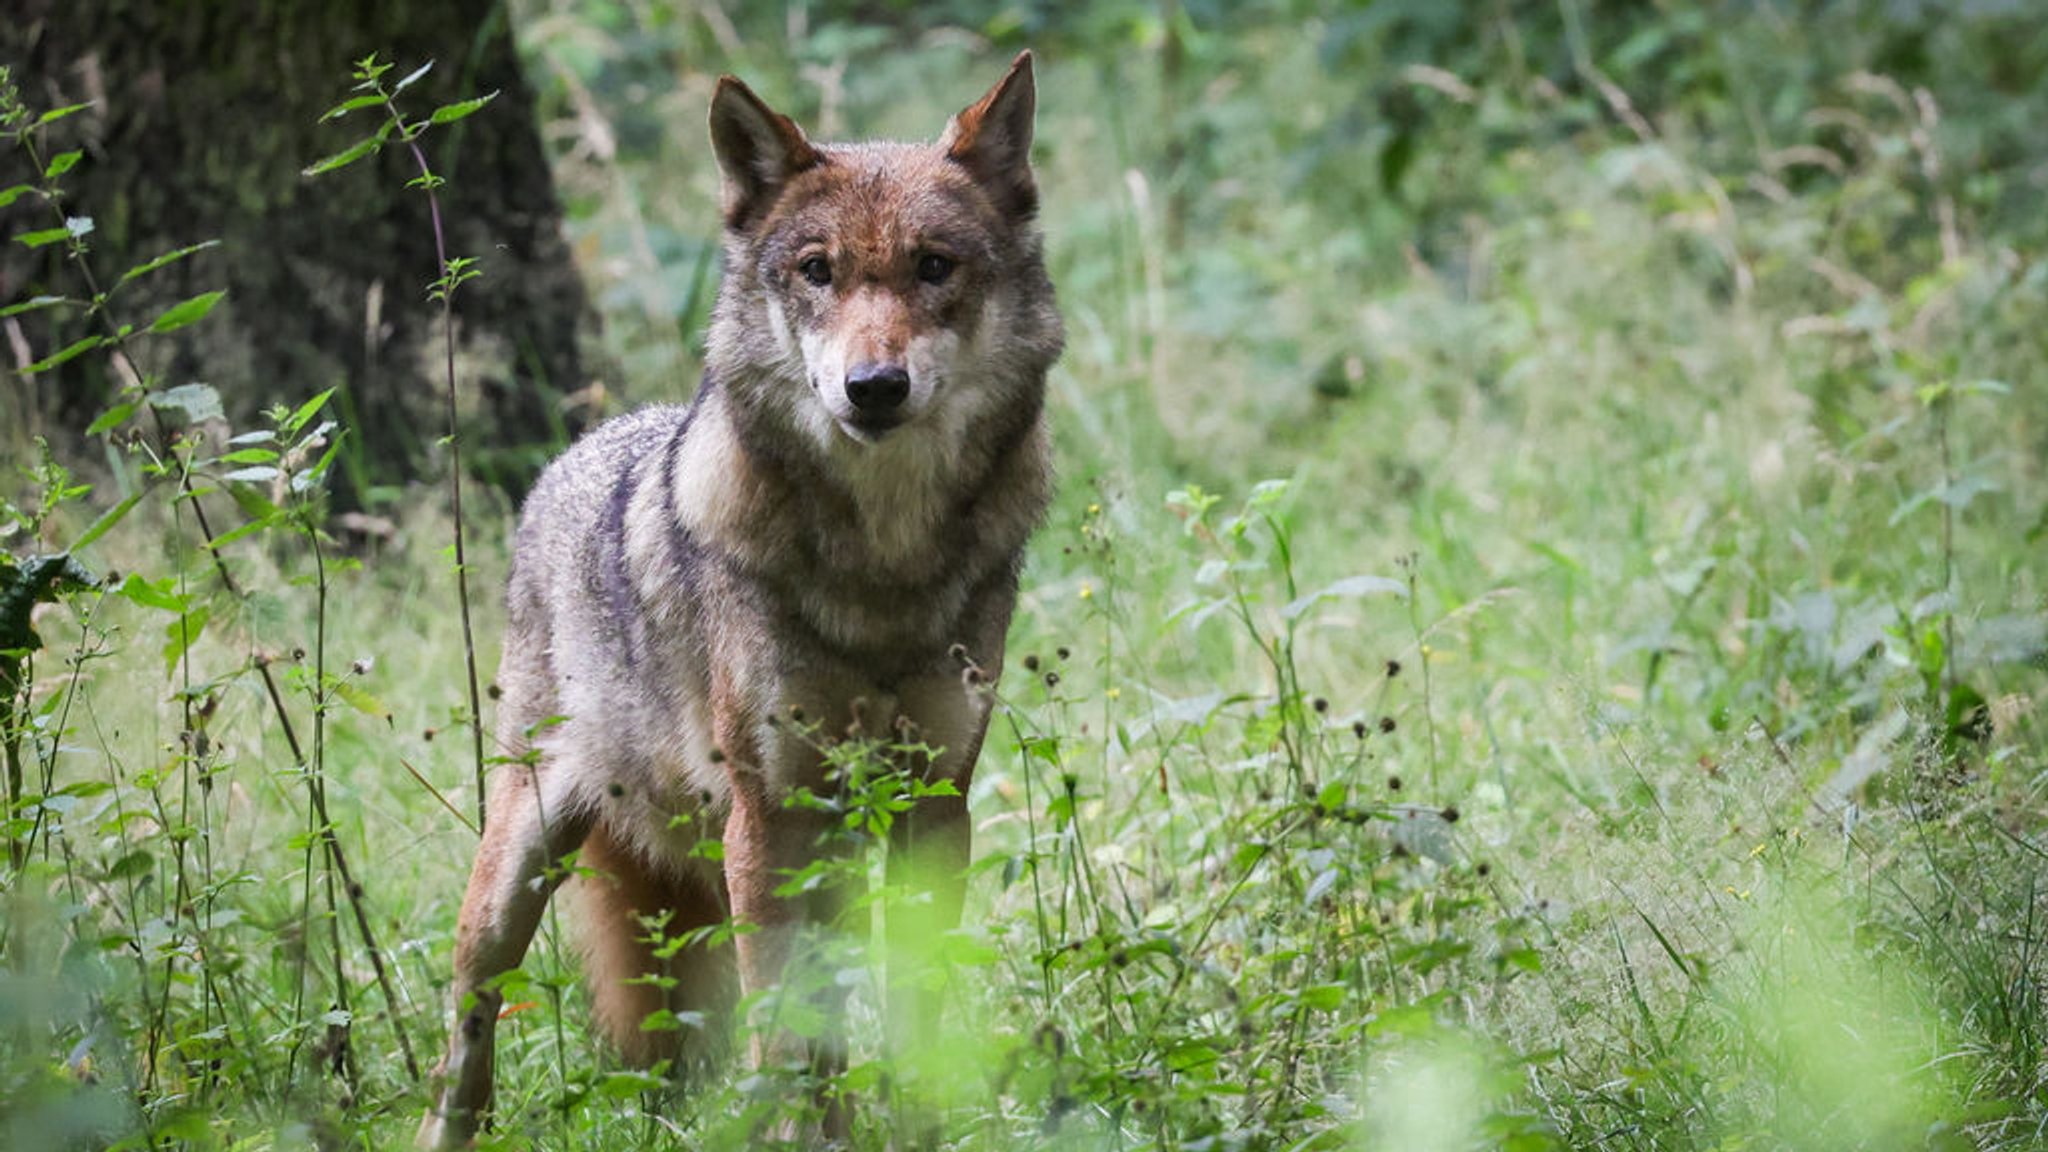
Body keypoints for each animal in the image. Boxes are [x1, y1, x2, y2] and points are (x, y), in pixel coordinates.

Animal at [413, 51, 1056, 1139]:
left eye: (934, 267)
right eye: (816, 271)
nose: (872, 387)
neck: (882, 568)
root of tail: (575, 454)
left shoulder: (933, 807)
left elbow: (912, 1021)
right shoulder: (768, 819)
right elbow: (784, 1035)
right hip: (518, 871)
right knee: (466, 1029)